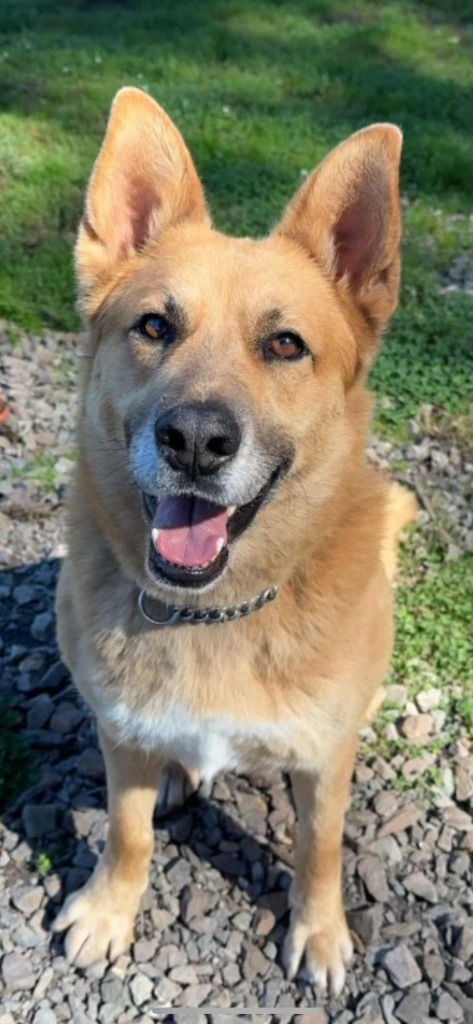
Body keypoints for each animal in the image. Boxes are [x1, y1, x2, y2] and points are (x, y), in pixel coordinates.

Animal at [50, 90, 413, 999]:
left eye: (284, 344)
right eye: (153, 326)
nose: (194, 441)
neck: (212, 614)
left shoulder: (321, 763)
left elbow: (318, 849)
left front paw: (318, 933)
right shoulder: (119, 735)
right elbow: (127, 832)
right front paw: (109, 910)